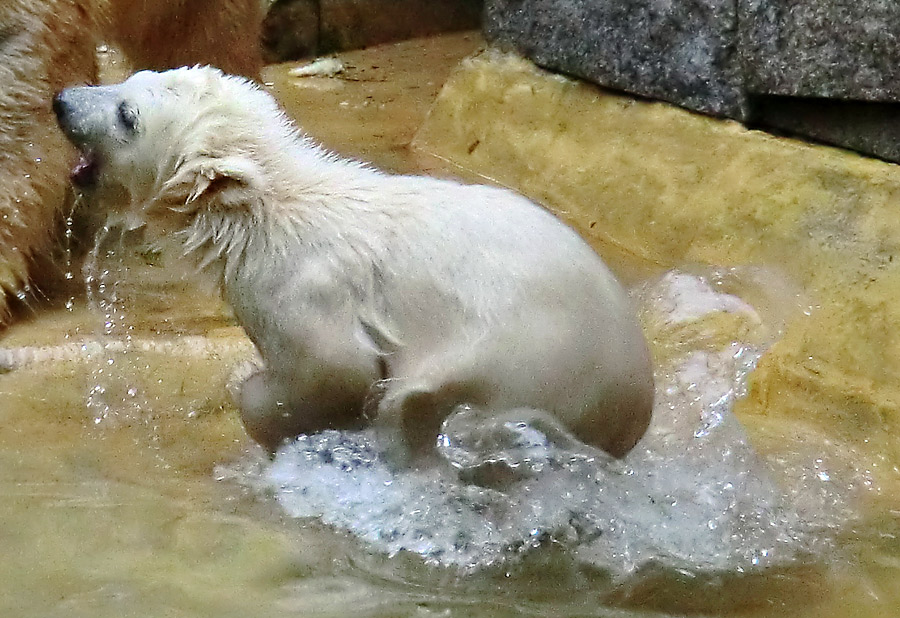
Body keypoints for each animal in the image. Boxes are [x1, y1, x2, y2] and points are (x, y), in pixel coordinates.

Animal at [54, 67, 652, 462]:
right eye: (132, 77)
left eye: (128, 115)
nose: (61, 99)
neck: (267, 215)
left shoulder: (301, 286)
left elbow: (337, 368)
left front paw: (260, 403)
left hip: (519, 359)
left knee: (423, 398)